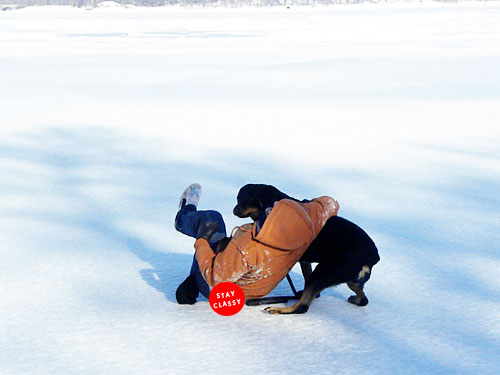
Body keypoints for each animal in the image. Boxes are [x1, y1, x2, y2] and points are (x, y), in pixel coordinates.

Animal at [233, 184, 378, 316]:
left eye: (244, 198)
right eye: (238, 198)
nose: (234, 209)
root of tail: (373, 257)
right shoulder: (304, 261)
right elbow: (306, 276)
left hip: (323, 272)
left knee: (302, 307)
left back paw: (279, 309)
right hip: (351, 280)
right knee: (363, 299)